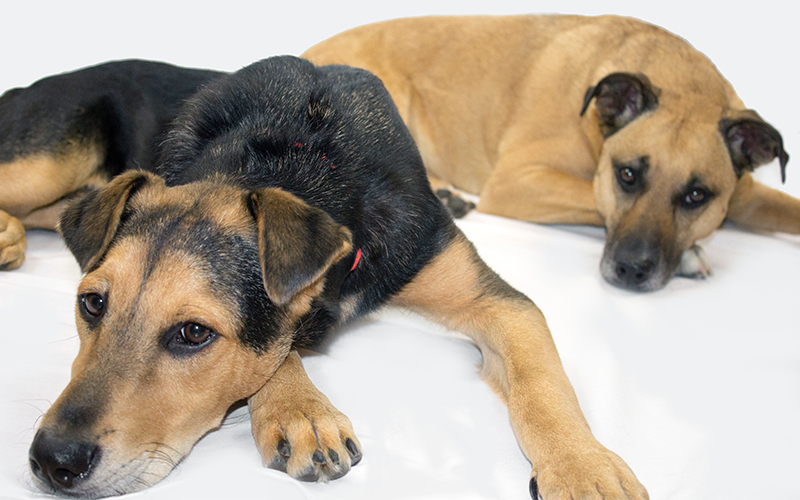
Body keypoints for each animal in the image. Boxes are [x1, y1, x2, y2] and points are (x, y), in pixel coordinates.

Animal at [17, 56, 644, 498]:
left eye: (193, 333)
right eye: (91, 304)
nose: (52, 462)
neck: (298, 153)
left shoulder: (495, 299)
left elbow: (545, 387)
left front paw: (583, 468)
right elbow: (281, 347)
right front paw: (302, 411)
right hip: (43, 163)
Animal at [304, 13, 796, 292]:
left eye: (697, 196)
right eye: (627, 175)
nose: (630, 270)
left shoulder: (747, 193)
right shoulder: (517, 181)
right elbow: (593, 197)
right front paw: (693, 253)